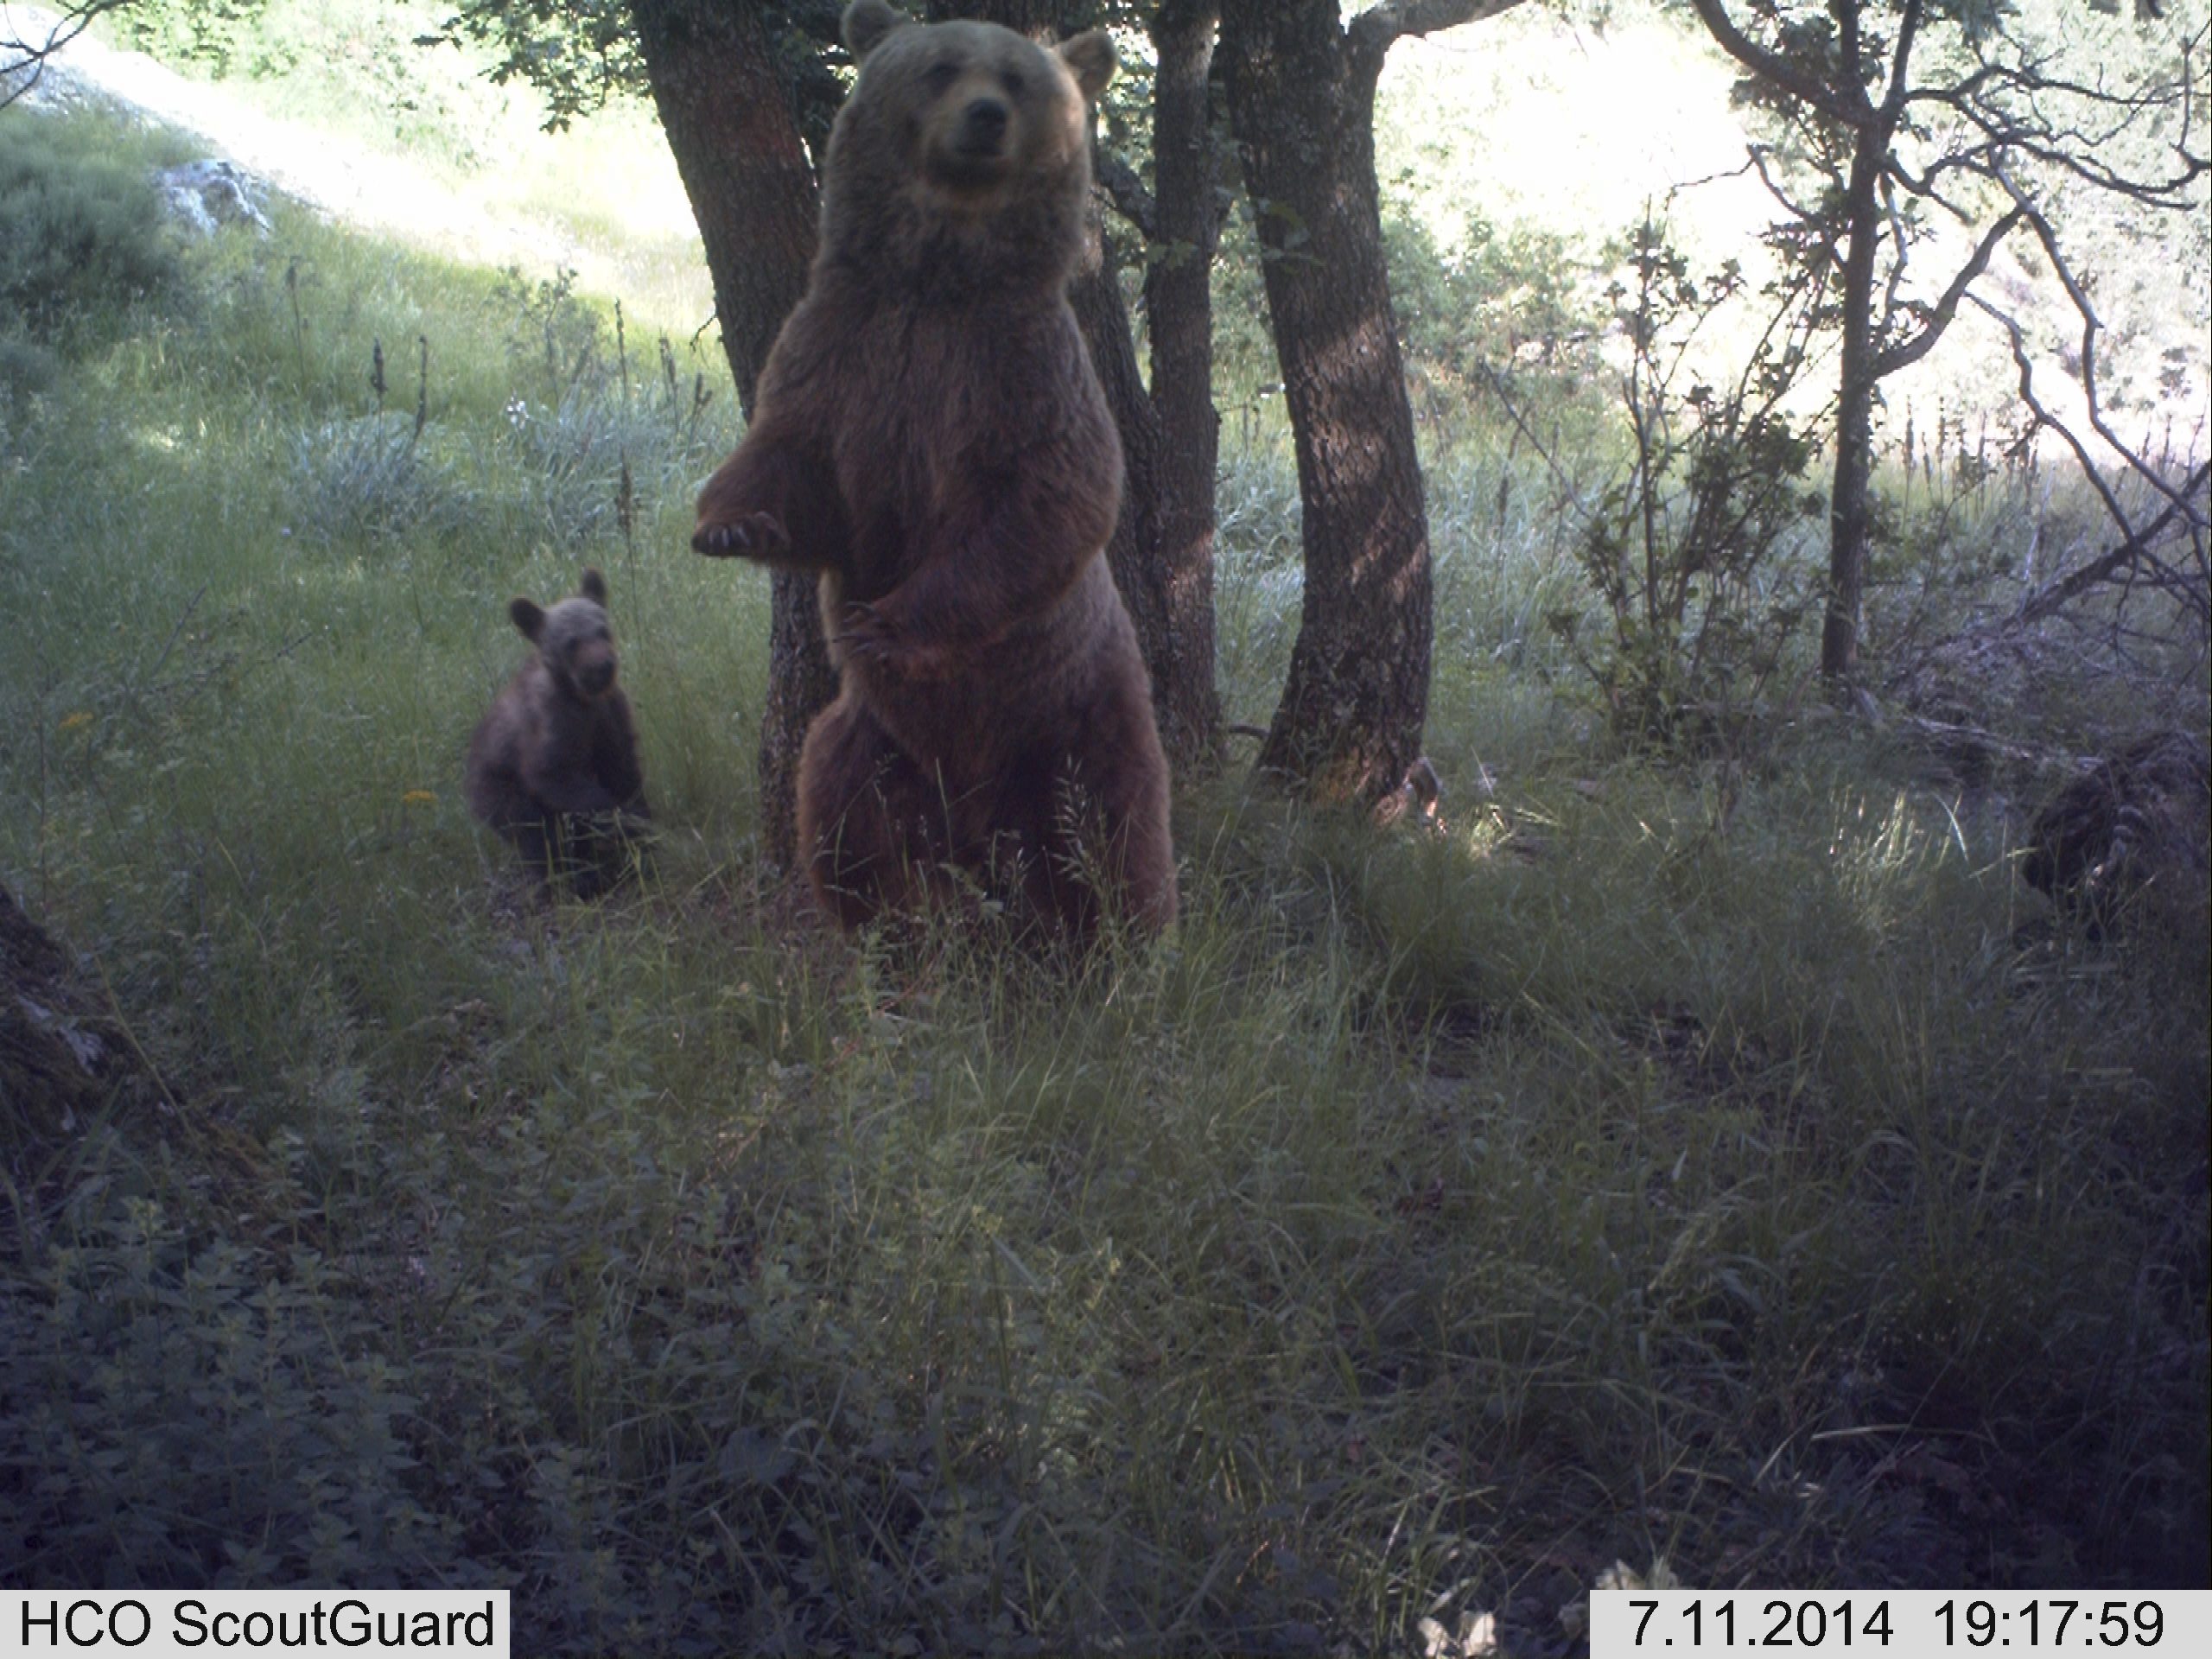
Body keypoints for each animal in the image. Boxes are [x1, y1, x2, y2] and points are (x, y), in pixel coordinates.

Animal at [460, 575, 645, 911]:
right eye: (571, 642)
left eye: (603, 629)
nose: (603, 666)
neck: (581, 699)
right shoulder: (548, 727)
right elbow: (553, 775)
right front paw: (617, 818)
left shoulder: (609, 713)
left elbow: (622, 766)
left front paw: (640, 826)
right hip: (499, 790)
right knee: (536, 835)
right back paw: (570, 880)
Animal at [690, 0, 1176, 942]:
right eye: (943, 66)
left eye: (1018, 78)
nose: (985, 117)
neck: (938, 279)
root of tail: (979, 821)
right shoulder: (846, 348)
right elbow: (791, 460)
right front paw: (731, 525)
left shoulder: (1021, 368)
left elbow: (1054, 502)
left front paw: (889, 624)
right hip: (873, 738)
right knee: (842, 816)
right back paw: (896, 929)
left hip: (1078, 710)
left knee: (1114, 834)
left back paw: (1120, 941)